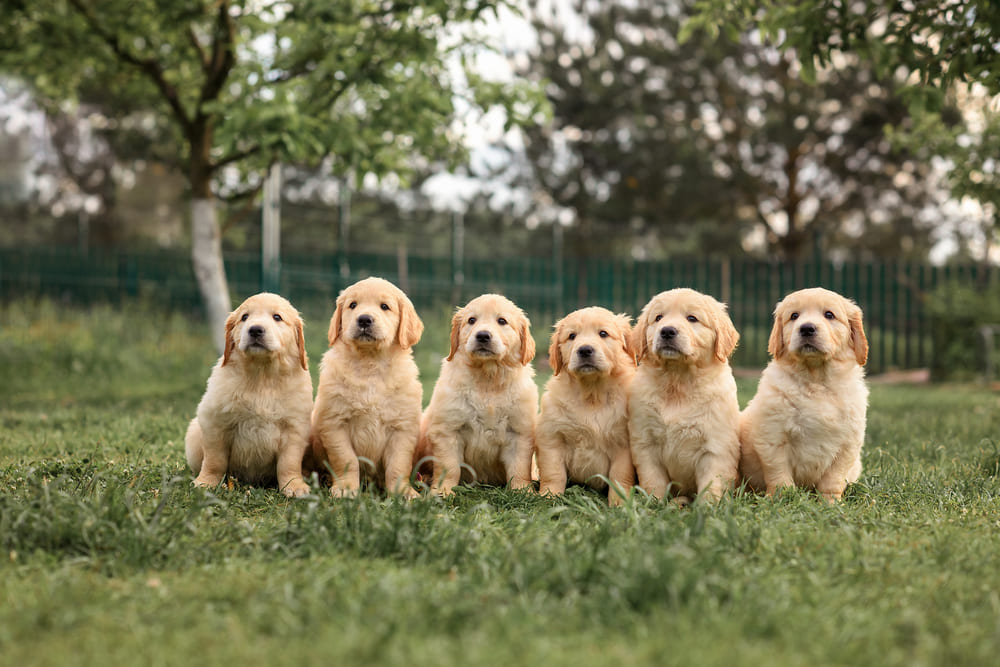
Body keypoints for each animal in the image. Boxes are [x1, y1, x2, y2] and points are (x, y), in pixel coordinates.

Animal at [310, 274, 424, 498]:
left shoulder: (402, 428)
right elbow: (347, 460)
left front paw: (403, 492)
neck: (370, 363)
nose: (364, 319)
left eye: (385, 307)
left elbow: (398, 465)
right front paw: (345, 489)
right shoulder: (335, 423)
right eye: (353, 305)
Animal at [420, 294, 540, 496]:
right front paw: (443, 491)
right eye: (471, 320)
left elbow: (519, 468)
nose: (483, 335)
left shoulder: (519, 433)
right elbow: (449, 466)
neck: (488, 380)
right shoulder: (448, 431)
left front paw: (523, 491)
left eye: (502, 321)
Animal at [536, 308, 636, 506]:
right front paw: (549, 497)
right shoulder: (551, 437)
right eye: (572, 336)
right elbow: (553, 472)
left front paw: (620, 503)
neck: (592, 395)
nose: (584, 350)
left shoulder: (624, 444)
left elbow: (620, 476)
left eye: (603, 333)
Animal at [628, 290, 740, 504]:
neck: (677, 381)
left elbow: (712, 482)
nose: (667, 331)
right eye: (658, 318)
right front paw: (655, 503)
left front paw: (708, 507)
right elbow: (653, 479)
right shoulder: (646, 442)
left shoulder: (715, 447)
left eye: (692, 318)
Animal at [740, 288, 872, 500]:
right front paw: (782, 499)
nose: (807, 328)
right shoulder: (773, 436)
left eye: (829, 315)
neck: (816, 380)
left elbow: (833, 479)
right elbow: (779, 474)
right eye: (794, 316)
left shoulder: (848, 443)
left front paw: (831, 502)